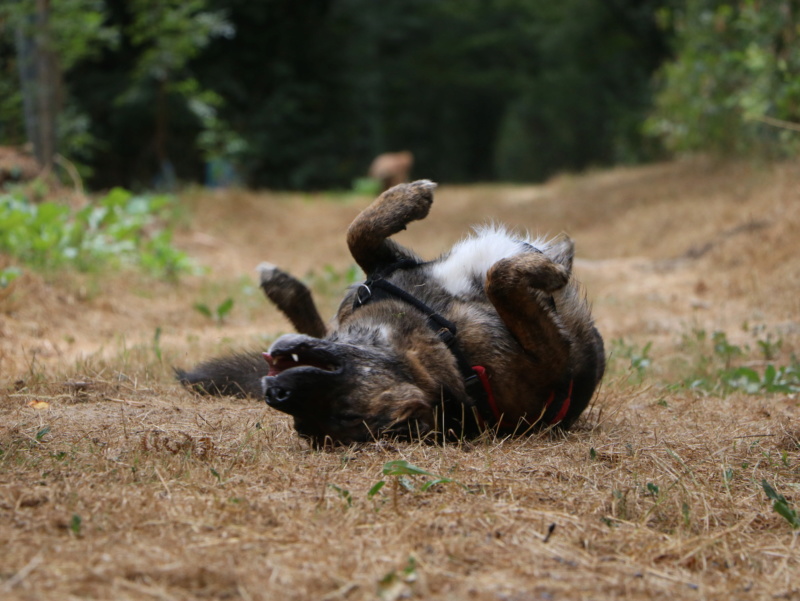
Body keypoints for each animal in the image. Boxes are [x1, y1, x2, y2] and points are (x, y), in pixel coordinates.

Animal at [173, 180, 600, 442]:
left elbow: (357, 231)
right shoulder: (549, 360)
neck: (442, 334)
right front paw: (550, 271)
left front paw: (407, 196)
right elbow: (500, 277)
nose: (275, 394)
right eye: (344, 416)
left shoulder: (383, 267)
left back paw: (280, 285)